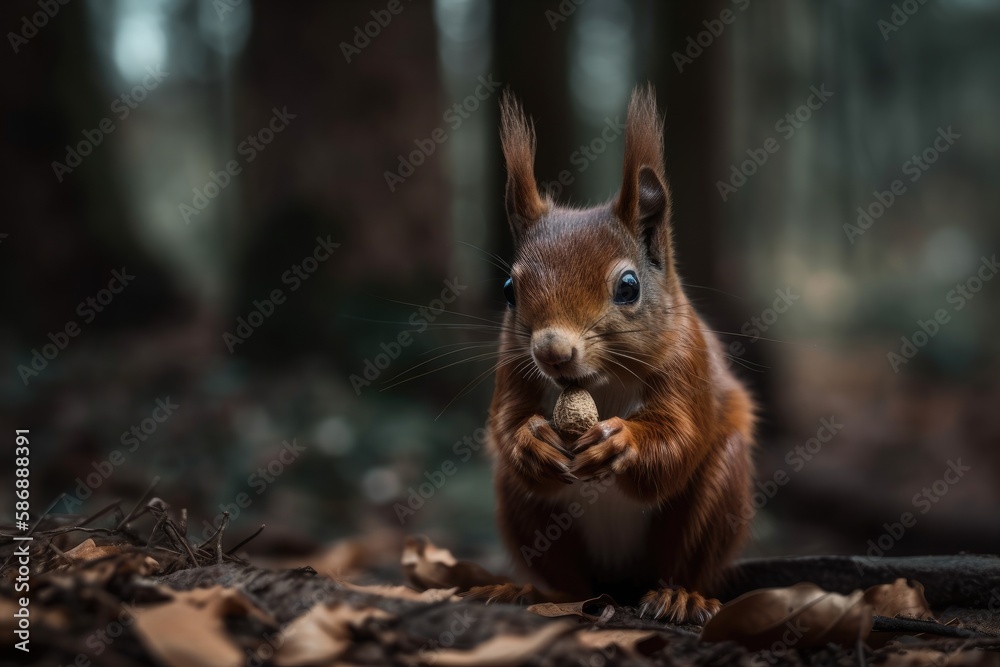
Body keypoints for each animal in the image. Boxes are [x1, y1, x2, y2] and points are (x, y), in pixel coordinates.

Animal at [480, 85, 752, 628]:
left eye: (628, 286)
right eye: (508, 291)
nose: (552, 351)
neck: (598, 383)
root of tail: (619, 583)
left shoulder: (686, 362)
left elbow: (678, 439)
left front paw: (619, 441)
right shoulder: (513, 366)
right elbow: (506, 420)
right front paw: (530, 440)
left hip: (719, 489)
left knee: (684, 561)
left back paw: (680, 597)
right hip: (524, 512)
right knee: (567, 579)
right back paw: (526, 591)